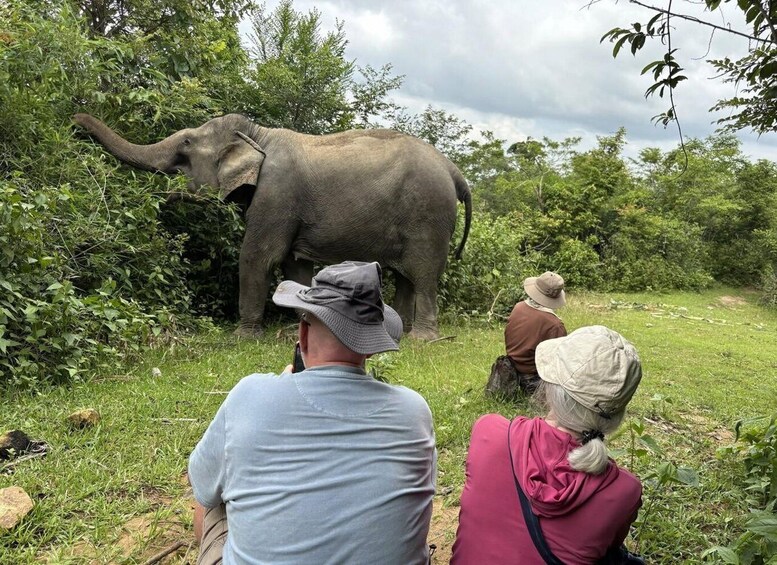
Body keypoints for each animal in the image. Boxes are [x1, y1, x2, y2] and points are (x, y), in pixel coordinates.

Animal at [72, 112, 472, 340]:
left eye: (185, 144)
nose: (75, 125)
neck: (257, 134)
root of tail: (454, 170)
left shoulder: (277, 195)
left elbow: (259, 256)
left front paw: (243, 338)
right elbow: (295, 265)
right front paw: (303, 324)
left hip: (429, 215)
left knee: (423, 274)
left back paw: (422, 339)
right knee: (405, 276)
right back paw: (401, 330)